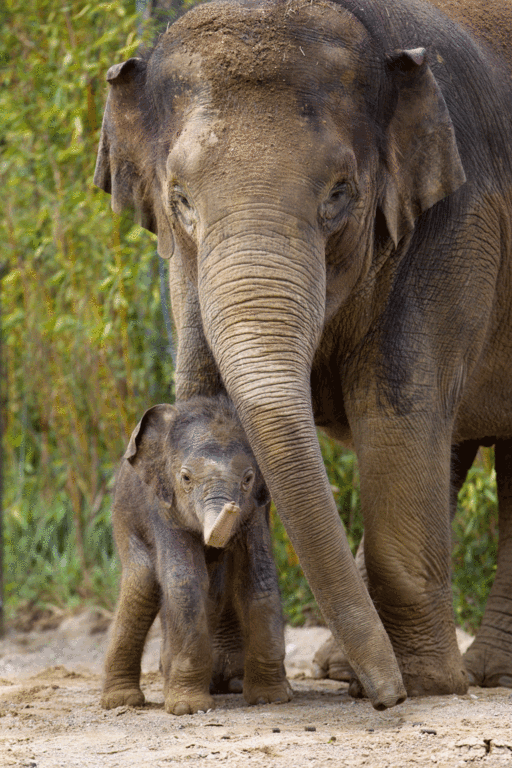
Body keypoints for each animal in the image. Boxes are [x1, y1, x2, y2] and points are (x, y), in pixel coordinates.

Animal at [101, 396, 290, 712]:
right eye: (186, 478)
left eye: (248, 479)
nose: (231, 507)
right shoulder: (163, 508)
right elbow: (185, 581)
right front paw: (190, 708)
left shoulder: (255, 513)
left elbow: (258, 579)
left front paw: (272, 698)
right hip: (124, 517)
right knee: (142, 586)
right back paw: (121, 700)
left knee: (214, 591)